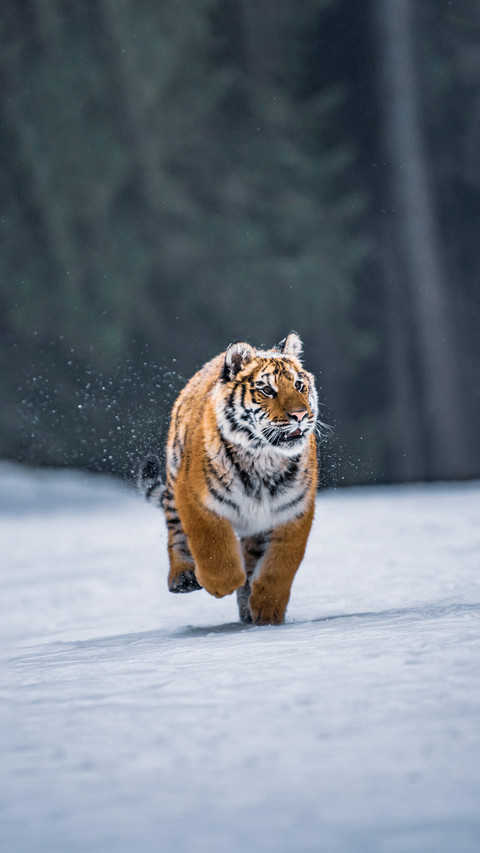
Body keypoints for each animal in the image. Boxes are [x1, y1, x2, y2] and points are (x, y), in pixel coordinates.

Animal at [139, 332, 320, 626]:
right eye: (267, 390)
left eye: (299, 385)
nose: (301, 415)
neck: (263, 459)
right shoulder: (196, 499)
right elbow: (213, 546)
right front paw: (221, 583)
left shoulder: (293, 512)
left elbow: (280, 564)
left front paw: (268, 610)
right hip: (175, 481)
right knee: (176, 533)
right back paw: (183, 577)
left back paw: (248, 609)